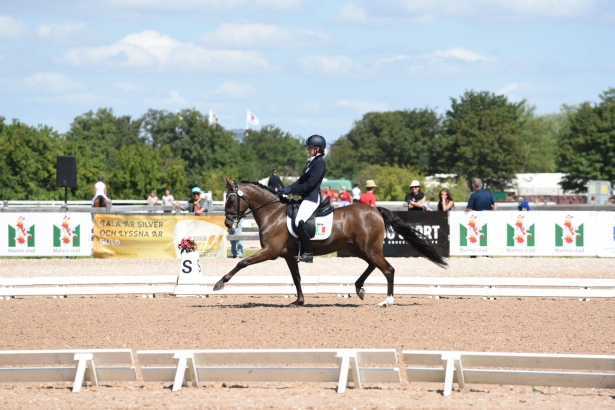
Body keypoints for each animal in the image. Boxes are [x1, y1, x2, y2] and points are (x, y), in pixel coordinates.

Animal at [217, 178, 448, 306]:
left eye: (231, 199)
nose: (228, 222)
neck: (273, 212)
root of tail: (375, 210)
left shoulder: (270, 251)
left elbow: (242, 262)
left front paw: (220, 283)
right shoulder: (288, 256)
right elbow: (296, 278)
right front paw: (299, 301)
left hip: (369, 249)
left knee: (388, 269)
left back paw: (387, 300)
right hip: (358, 249)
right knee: (373, 265)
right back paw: (359, 288)